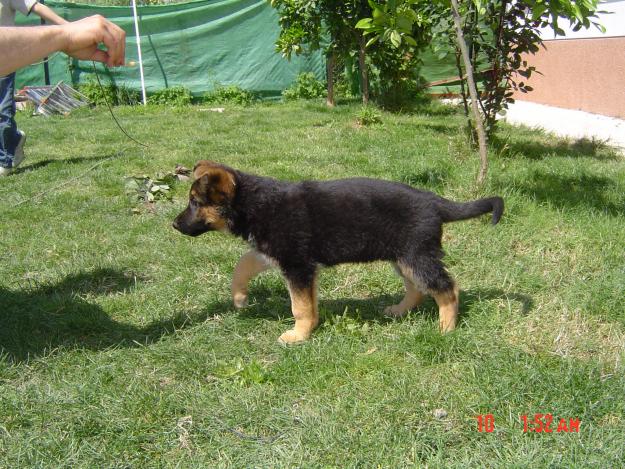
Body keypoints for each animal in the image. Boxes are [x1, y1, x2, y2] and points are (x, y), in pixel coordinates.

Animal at [173, 162, 504, 344]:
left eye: (194, 203)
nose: (174, 225)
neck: (255, 203)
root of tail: (435, 201)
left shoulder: (296, 265)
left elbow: (300, 306)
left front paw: (298, 335)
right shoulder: (275, 254)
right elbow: (243, 265)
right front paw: (240, 298)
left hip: (417, 256)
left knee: (447, 288)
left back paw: (445, 328)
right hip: (403, 257)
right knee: (418, 288)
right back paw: (400, 310)